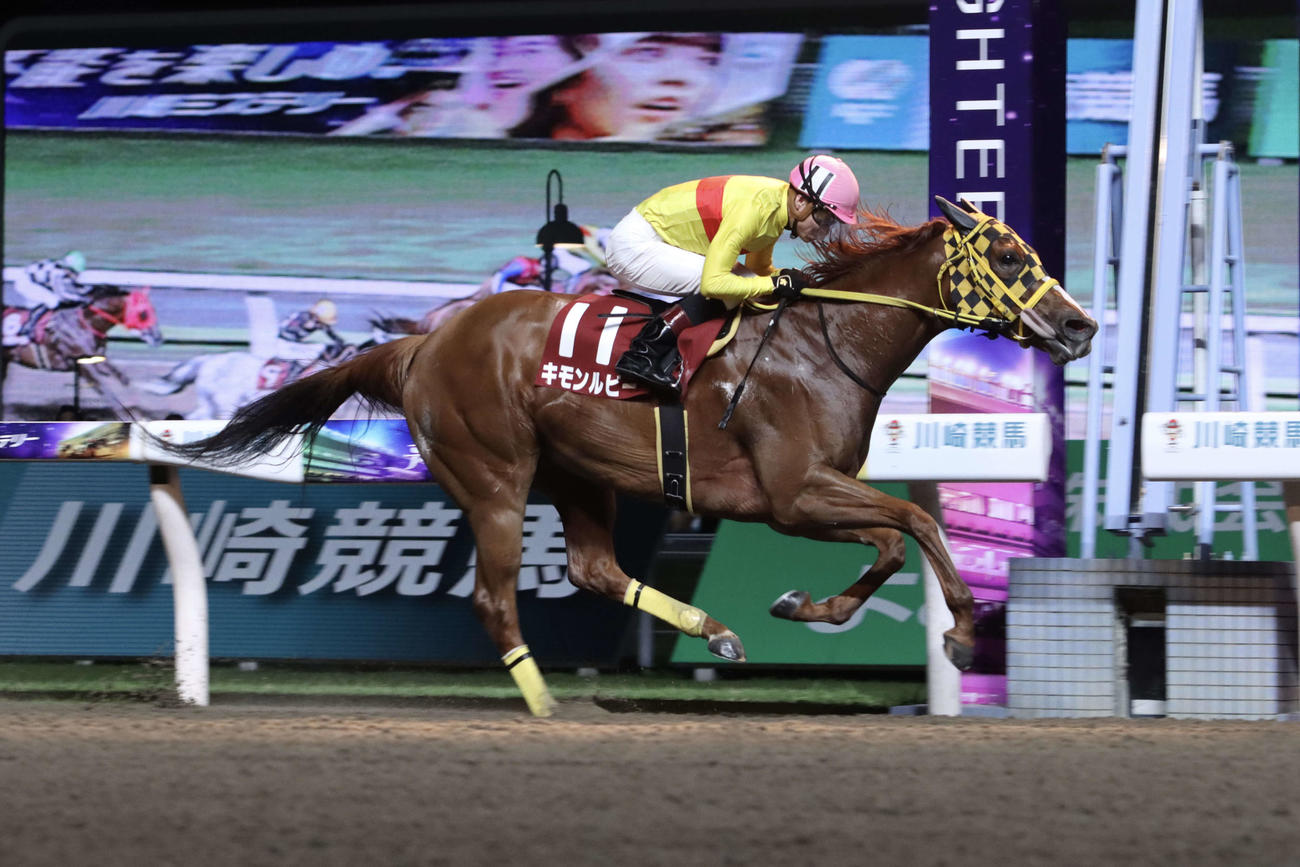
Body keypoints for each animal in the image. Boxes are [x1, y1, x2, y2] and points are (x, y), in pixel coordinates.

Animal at [157, 198, 1097, 717]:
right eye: (1007, 254)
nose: (1081, 324)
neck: (827, 344)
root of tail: (424, 343)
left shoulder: (812, 493)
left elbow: (896, 539)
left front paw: (802, 606)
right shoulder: (792, 493)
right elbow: (911, 524)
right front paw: (965, 637)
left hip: (578, 474)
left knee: (594, 568)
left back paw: (716, 631)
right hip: (495, 477)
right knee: (495, 598)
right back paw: (545, 701)